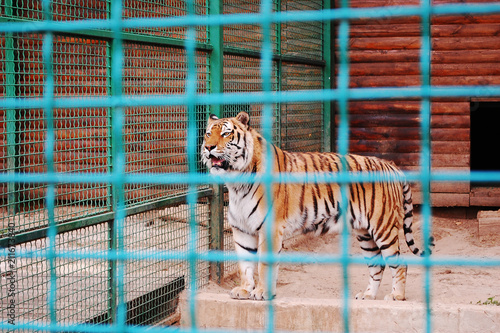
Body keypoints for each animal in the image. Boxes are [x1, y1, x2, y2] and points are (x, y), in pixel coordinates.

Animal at [201, 111, 432, 300]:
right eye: (208, 134)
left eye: (226, 134)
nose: (208, 147)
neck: (236, 183)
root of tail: (391, 166)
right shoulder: (242, 230)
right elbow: (245, 265)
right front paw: (244, 290)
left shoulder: (270, 228)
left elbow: (263, 265)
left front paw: (262, 293)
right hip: (365, 233)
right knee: (377, 265)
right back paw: (367, 296)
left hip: (383, 227)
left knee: (399, 263)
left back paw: (397, 296)